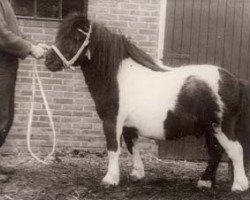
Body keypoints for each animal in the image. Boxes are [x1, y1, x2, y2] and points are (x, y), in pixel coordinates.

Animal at [45, 12, 250, 192]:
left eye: (75, 38)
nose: (48, 60)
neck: (118, 77)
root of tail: (235, 81)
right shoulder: (129, 126)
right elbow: (132, 147)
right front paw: (137, 174)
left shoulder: (112, 122)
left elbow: (113, 148)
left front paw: (110, 180)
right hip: (210, 129)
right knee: (215, 152)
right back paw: (205, 182)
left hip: (221, 128)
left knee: (235, 150)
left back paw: (239, 186)